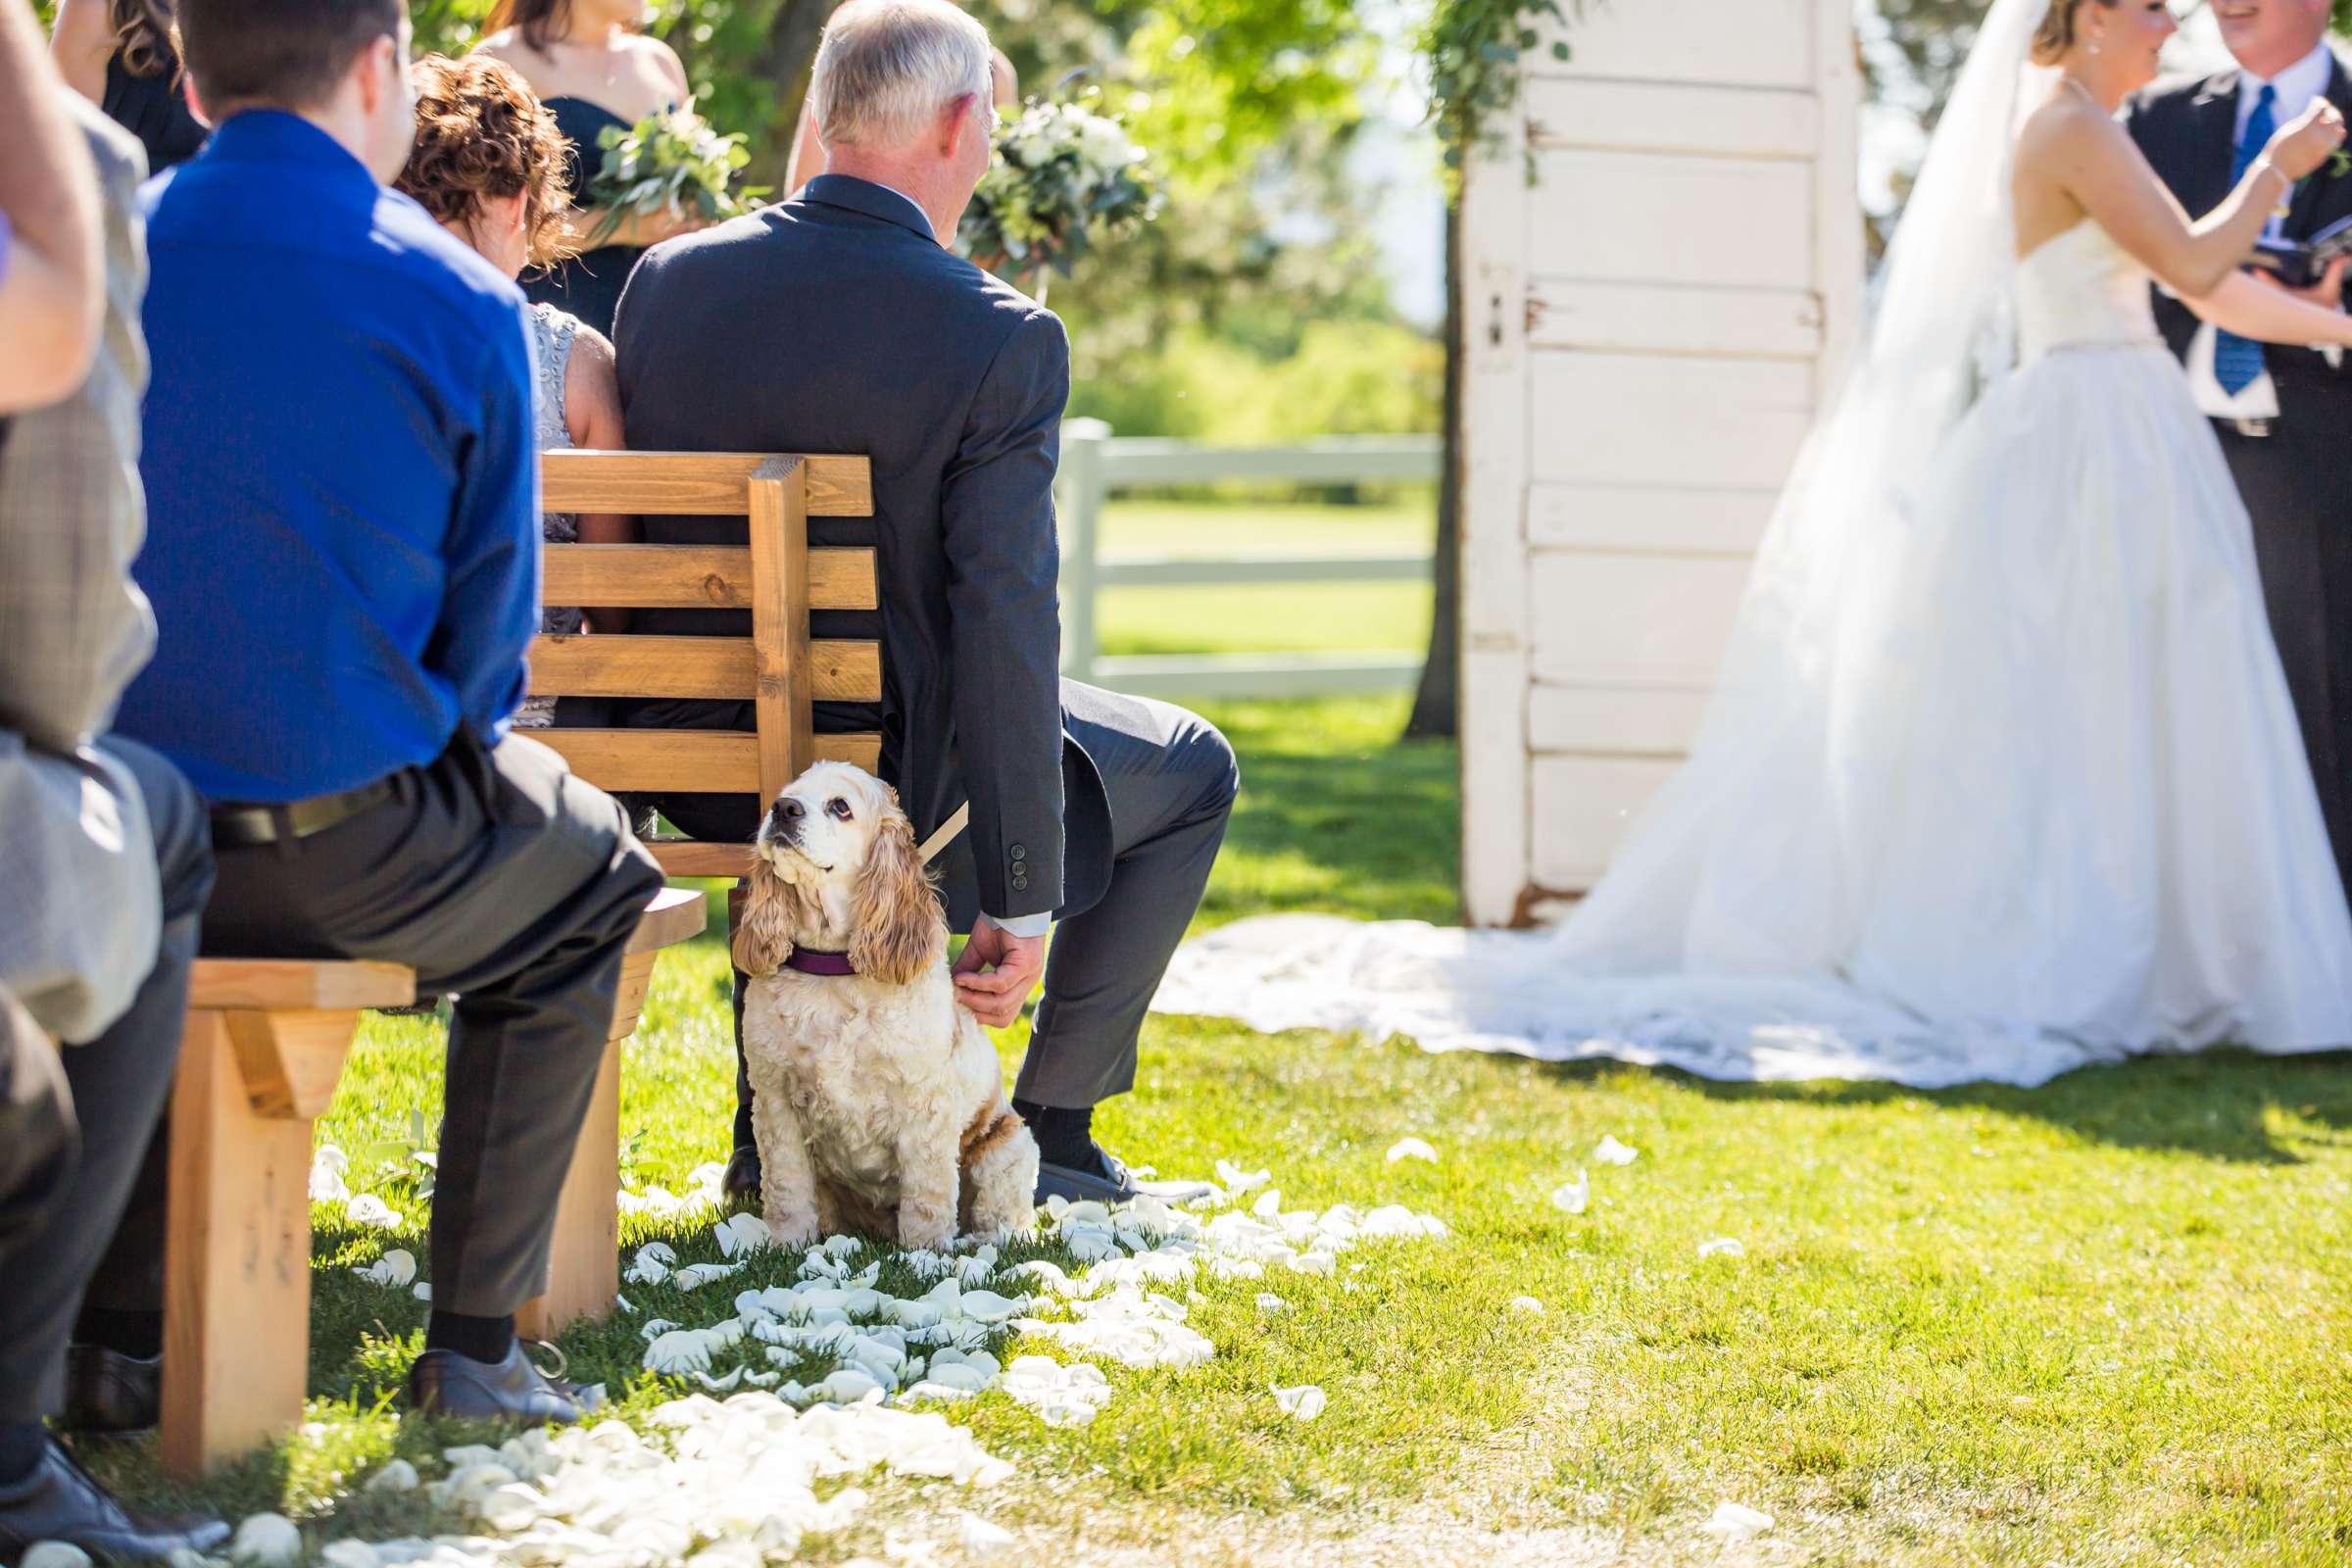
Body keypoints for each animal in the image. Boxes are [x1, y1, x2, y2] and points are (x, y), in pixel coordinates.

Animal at [729, 761, 1035, 1250]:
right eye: (784, 794)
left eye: (840, 806)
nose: (783, 809)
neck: (832, 970)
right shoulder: (776, 1101)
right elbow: (786, 1189)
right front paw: (787, 1245)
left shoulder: (925, 1108)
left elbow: (927, 1196)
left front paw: (924, 1254)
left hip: (1009, 1147)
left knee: (999, 1217)